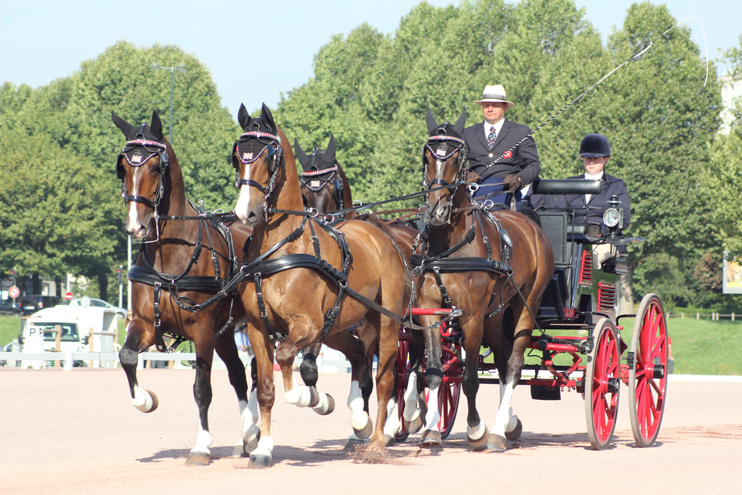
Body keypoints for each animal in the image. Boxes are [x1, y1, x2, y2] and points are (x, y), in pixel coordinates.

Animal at [112, 111, 256, 464]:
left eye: (155, 167)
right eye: (123, 167)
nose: (135, 225)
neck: (171, 255)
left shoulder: (201, 329)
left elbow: (201, 389)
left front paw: (202, 444)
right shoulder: (146, 323)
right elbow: (128, 356)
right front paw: (145, 400)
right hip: (225, 333)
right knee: (238, 375)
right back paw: (244, 438)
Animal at [232, 102, 410, 466]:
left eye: (268, 156)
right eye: (238, 155)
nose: (246, 212)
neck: (282, 248)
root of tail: (380, 233)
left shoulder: (307, 325)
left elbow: (288, 358)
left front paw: (310, 397)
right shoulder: (257, 328)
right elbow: (267, 388)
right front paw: (264, 447)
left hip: (385, 323)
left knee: (386, 379)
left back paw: (377, 440)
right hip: (341, 325)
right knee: (359, 357)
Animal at [410, 108, 556, 450]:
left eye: (456, 156)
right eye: (427, 155)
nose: (436, 210)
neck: (450, 246)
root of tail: (531, 225)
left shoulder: (471, 316)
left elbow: (470, 378)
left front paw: (476, 428)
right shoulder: (430, 312)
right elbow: (434, 371)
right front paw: (431, 430)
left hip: (525, 305)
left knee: (513, 365)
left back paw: (499, 431)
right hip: (495, 313)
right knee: (502, 361)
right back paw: (510, 422)